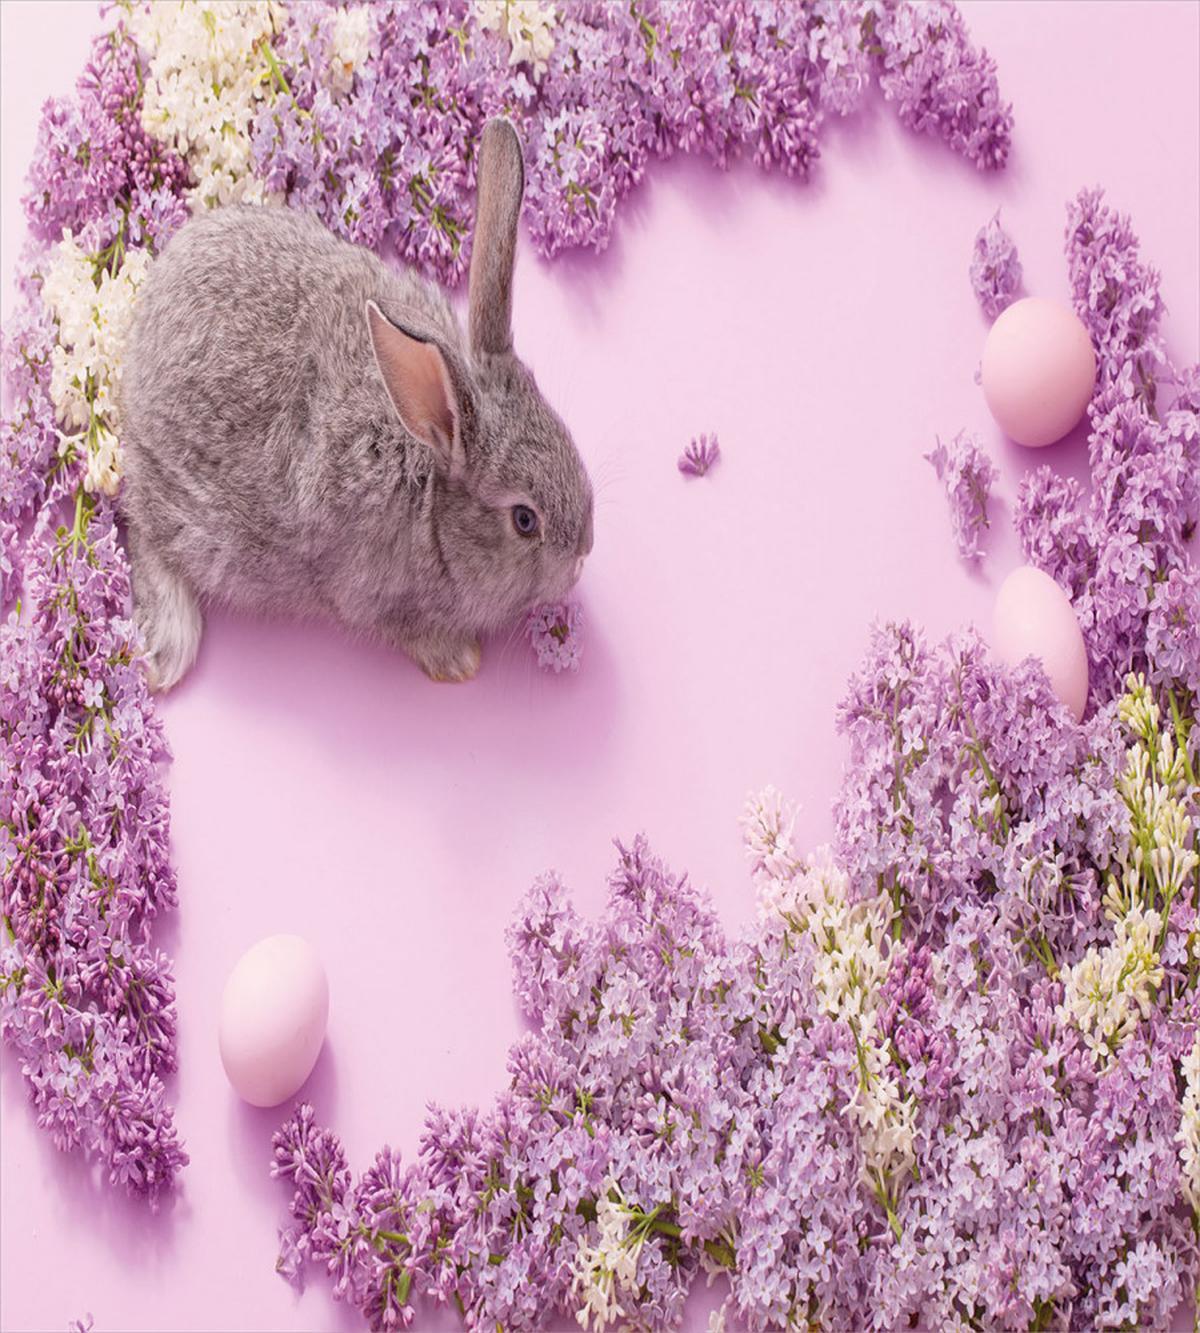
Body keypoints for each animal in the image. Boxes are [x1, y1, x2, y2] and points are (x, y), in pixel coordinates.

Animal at [119, 118, 593, 690]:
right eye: (525, 520)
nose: (583, 552)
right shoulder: (376, 600)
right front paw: (459, 661)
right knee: (142, 529)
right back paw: (166, 650)